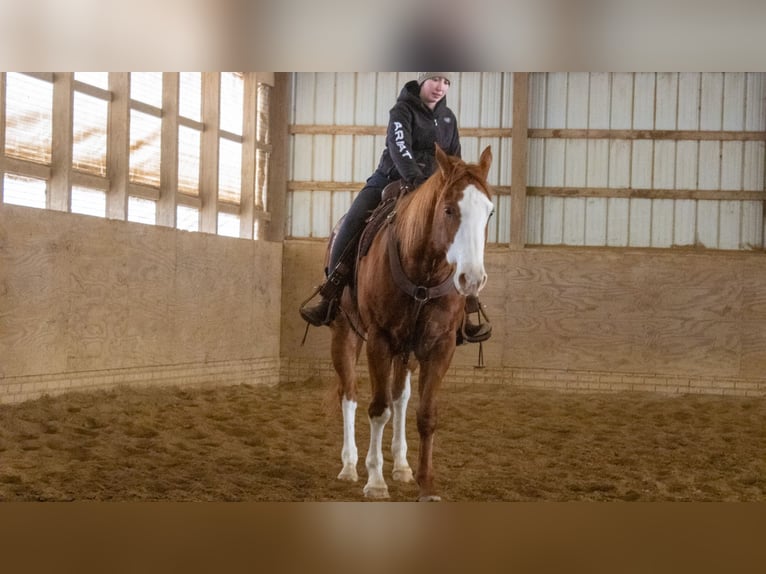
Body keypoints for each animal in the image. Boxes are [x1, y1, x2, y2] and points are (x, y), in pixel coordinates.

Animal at [328, 145, 496, 504]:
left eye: (489, 212)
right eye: (448, 209)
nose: (472, 279)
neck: (423, 271)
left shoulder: (439, 346)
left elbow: (425, 414)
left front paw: (426, 485)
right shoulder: (379, 340)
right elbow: (378, 410)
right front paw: (375, 481)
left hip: (406, 352)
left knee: (399, 398)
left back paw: (402, 466)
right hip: (346, 333)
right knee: (349, 393)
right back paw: (349, 465)